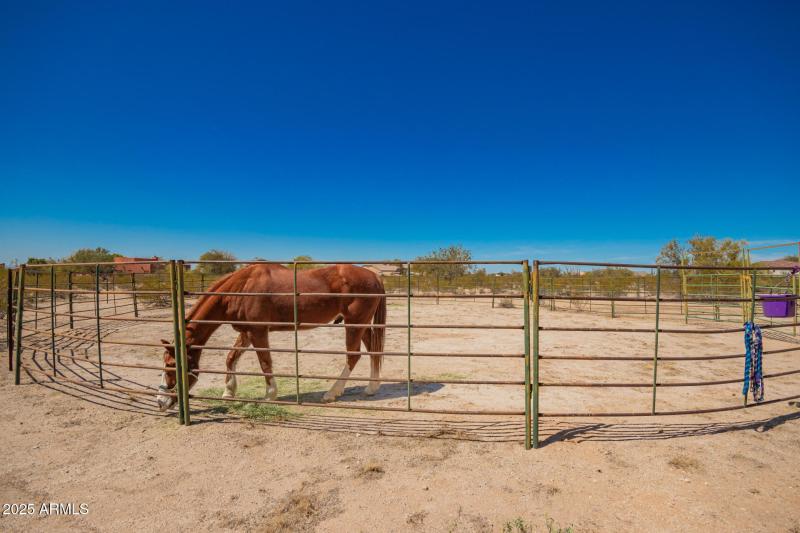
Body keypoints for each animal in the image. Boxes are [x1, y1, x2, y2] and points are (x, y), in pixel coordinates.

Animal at [155, 263, 386, 411]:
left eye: (171, 365)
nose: (160, 401)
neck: (241, 288)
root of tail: (374, 275)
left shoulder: (258, 332)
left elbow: (265, 362)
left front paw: (269, 395)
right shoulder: (246, 333)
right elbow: (231, 357)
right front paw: (229, 392)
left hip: (354, 324)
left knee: (353, 355)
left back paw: (332, 393)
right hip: (361, 325)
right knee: (373, 350)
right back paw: (371, 388)